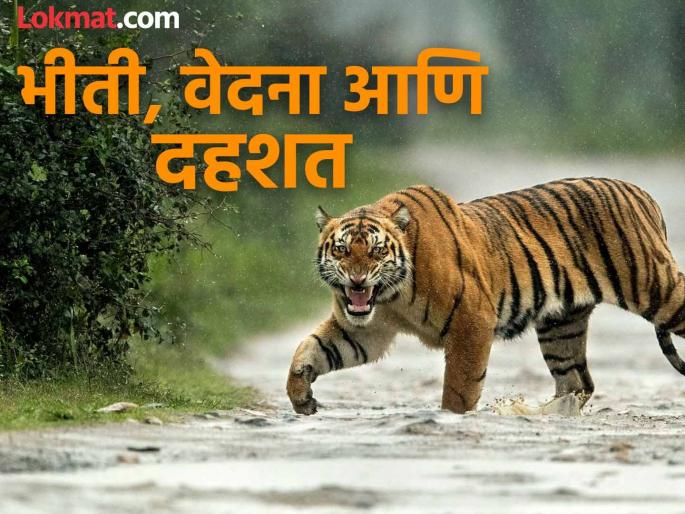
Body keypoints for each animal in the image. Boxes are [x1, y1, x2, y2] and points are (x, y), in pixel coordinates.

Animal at [286, 178, 685, 415]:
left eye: (376, 251)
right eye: (341, 250)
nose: (356, 280)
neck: (391, 296)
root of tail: (643, 194)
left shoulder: (472, 319)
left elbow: (459, 386)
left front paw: (452, 418)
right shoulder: (365, 330)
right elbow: (310, 349)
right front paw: (301, 397)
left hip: (657, 290)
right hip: (561, 325)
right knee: (576, 384)